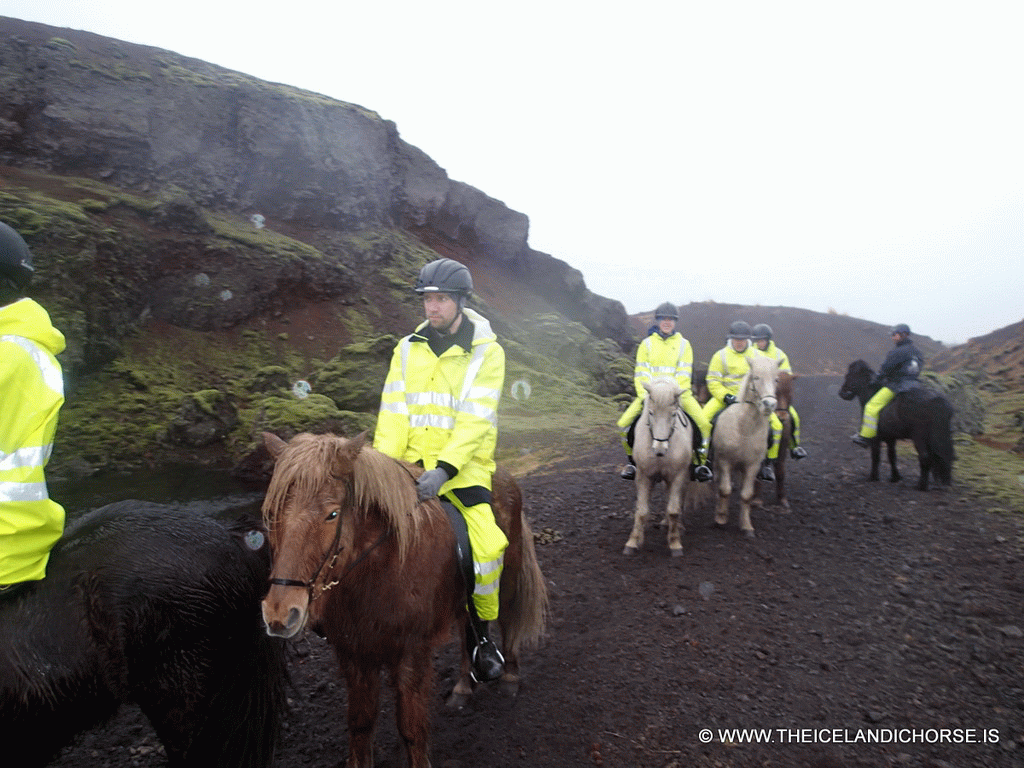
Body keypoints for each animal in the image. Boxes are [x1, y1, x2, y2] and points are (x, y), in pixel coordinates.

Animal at [260, 434, 548, 768]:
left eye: (332, 514)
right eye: (272, 514)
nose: (279, 613)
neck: (382, 569)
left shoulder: (412, 653)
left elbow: (411, 729)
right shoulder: (354, 654)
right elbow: (360, 725)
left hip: (508, 574)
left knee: (507, 618)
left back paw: (509, 675)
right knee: (467, 629)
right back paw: (463, 687)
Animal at [618, 380, 692, 557]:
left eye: (673, 415)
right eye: (650, 413)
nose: (659, 449)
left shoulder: (677, 476)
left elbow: (673, 510)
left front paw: (675, 543)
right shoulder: (644, 476)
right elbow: (642, 511)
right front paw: (632, 542)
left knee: (679, 500)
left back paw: (677, 526)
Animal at [712, 356, 774, 540]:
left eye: (776, 379)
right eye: (756, 377)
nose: (769, 404)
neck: (745, 428)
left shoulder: (752, 466)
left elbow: (746, 495)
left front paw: (747, 526)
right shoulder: (725, 461)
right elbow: (725, 490)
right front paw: (721, 519)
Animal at [835, 362, 954, 493]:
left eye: (849, 375)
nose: (842, 392)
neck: (872, 393)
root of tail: (938, 401)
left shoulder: (876, 439)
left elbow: (876, 456)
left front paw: (873, 477)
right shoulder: (891, 439)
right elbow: (892, 456)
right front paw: (895, 477)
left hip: (919, 438)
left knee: (925, 457)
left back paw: (921, 486)